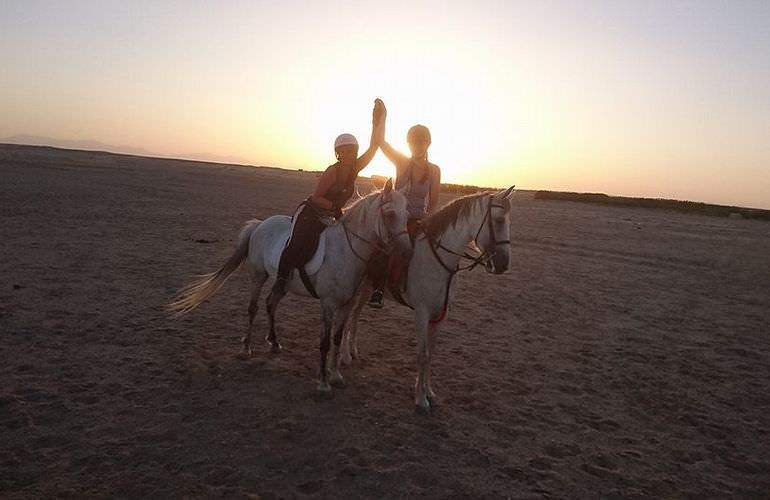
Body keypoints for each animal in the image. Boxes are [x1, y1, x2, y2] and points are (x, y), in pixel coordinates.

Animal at [166, 182, 412, 392]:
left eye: (408, 215)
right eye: (391, 214)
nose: (406, 251)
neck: (346, 251)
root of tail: (260, 224)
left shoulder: (346, 305)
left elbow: (337, 338)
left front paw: (336, 376)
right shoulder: (328, 304)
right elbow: (324, 342)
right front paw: (323, 383)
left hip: (281, 283)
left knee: (270, 304)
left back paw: (274, 343)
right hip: (258, 276)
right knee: (253, 308)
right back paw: (246, 349)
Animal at [340, 187, 512, 410]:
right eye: (499, 220)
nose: (504, 264)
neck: (439, 260)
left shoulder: (441, 314)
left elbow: (431, 354)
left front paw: (429, 392)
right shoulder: (422, 313)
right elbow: (422, 355)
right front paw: (420, 400)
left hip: (368, 289)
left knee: (355, 315)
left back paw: (353, 350)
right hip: (357, 288)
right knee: (347, 317)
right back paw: (344, 356)